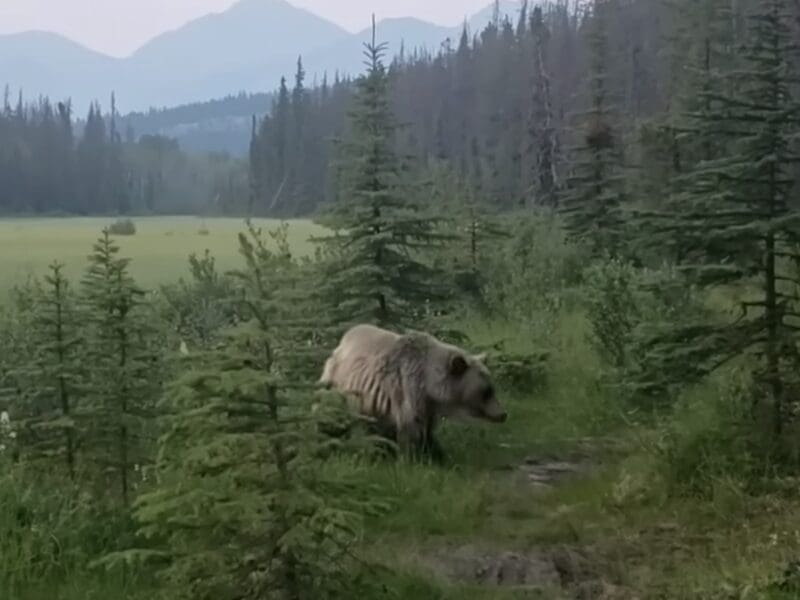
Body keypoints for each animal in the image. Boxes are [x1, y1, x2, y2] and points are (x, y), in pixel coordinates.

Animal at [318, 323, 506, 462]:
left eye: (492, 387)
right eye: (486, 391)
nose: (503, 414)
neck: (430, 386)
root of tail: (340, 343)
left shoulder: (428, 406)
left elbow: (428, 431)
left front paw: (437, 454)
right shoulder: (408, 390)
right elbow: (412, 429)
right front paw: (413, 458)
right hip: (339, 385)